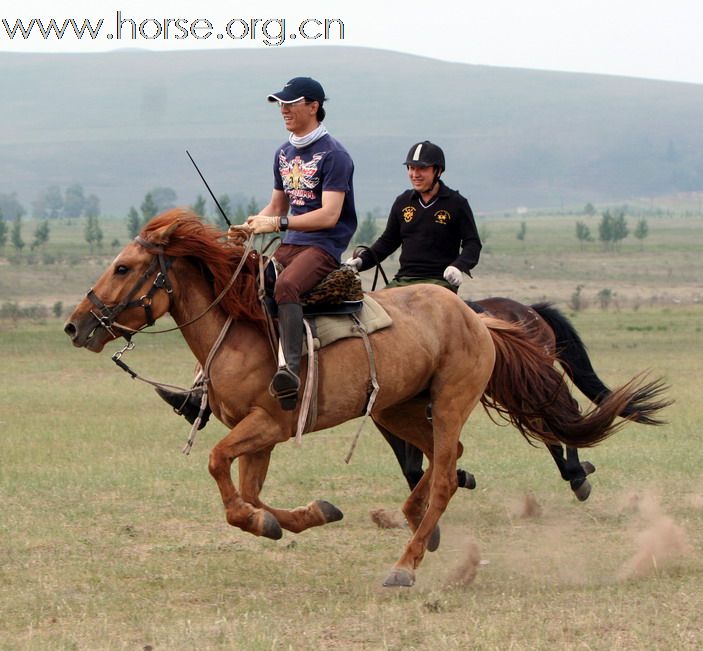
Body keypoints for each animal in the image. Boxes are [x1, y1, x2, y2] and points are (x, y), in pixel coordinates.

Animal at [63, 211, 656, 588]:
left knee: (450, 471)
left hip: (448, 401)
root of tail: (478, 318)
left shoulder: (267, 425)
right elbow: (252, 495)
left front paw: (268, 520)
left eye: (122, 268)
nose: (75, 326)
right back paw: (416, 519)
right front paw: (302, 516)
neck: (240, 328)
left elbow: (219, 470)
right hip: (400, 408)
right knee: (448, 461)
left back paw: (407, 563)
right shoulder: (261, 438)